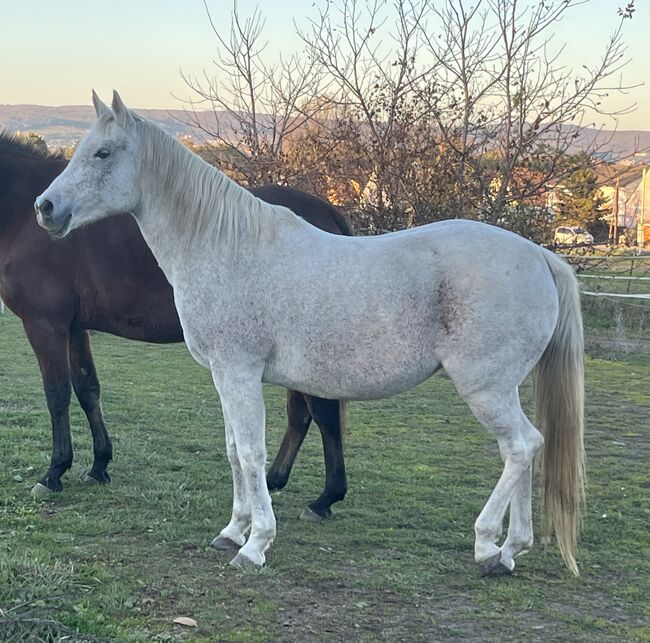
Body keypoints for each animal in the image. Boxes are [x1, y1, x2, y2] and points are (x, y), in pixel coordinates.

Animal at [0, 133, 350, 520]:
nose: (46, 210)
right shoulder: (75, 329)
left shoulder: (46, 325)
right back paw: (274, 480)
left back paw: (325, 498)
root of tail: (328, 213)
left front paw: (54, 473)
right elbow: (87, 390)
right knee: (300, 414)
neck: (21, 219)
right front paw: (99, 465)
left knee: (323, 413)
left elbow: (57, 394)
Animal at [35, 92, 584, 580]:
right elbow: (234, 450)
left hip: (485, 388)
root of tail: (541, 257)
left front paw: (255, 545)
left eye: (104, 153)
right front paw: (232, 531)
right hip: (501, 389)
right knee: (523, 449)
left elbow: (251, 454)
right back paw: (512, 549)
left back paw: (489, 546)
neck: (227, 247)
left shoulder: (239, 373)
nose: (46, 207)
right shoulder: (224, 377)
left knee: (521, 447)